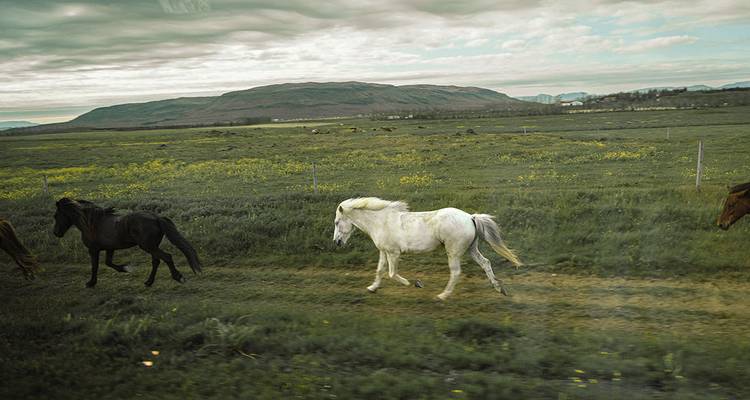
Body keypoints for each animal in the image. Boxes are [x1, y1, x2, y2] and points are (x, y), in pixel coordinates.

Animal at [53, 198, 202, 287]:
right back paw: (148, 282)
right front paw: (126, 269)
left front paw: (90, 283)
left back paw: (178, 277)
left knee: (166, 257)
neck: (91, 223)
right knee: (156, 261)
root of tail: (156, 217)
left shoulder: (93, 250)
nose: (56, 233)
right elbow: (108, 263)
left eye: (56, 216)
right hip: (152, 246)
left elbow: (95, 266)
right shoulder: (110, 248)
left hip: (148, 246)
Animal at [332, 197, 522, 300]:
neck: (381, 222)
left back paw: (442, 296)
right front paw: (372, 288)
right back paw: (499, 289)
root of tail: (470, 217)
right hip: (471, 249)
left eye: (336, 222)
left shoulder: (394, 253)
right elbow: (380, 271)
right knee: (486, 263)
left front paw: (414, 283)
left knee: (456, 272)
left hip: (454, 252)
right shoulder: (384, 251)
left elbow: (392, 273)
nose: (337, 242)